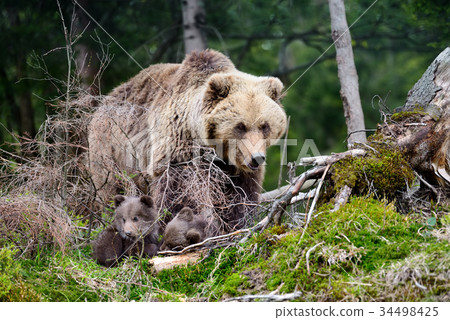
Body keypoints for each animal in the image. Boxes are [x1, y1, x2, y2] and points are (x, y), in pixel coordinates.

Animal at [89, 48, 286, 230]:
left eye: (265, 126)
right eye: (240, 126)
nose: (257, 158)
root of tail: (104, 102)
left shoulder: (236, 169)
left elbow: (240, 195)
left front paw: (235, 224)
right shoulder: (177, 147)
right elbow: (178, 192)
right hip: (111, 150)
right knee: (113, 190)